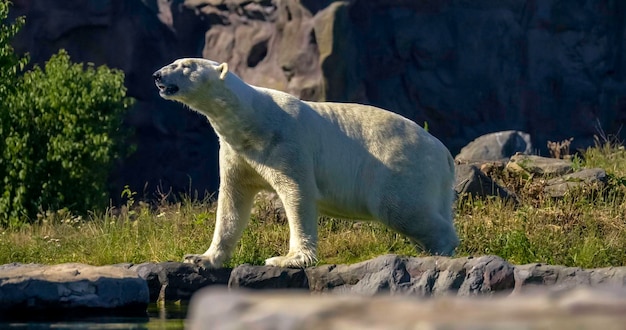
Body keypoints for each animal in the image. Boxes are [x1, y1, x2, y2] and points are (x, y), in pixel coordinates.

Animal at [151, 57, 454, 268]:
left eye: (185, 65)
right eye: (175, 61)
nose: (157, 75)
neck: (252, 120)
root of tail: (445, 153)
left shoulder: (287, 142)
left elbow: (297, 193)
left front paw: (288, 259)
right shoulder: (236, 152)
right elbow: (232, 202)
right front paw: (201, 257)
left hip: (401, 164)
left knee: (398, 207)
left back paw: (439, 249)